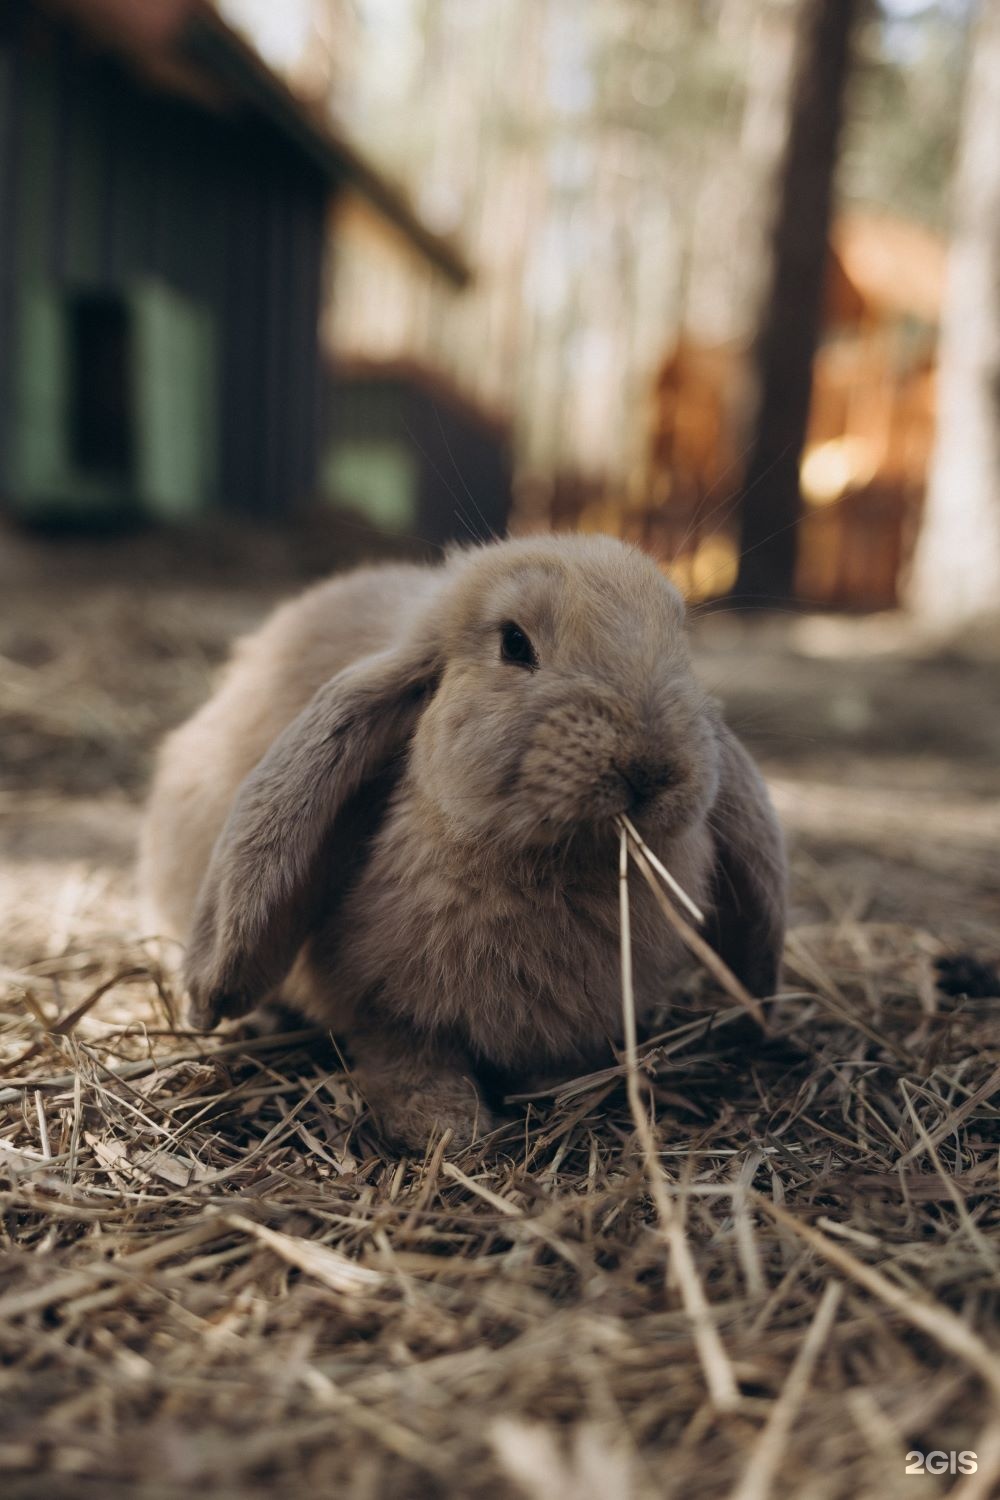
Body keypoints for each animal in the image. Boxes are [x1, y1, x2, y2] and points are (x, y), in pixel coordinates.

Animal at [138, 537, 791, 1146]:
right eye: (515, 644)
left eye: (680, 644)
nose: (652, 767)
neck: (551, 866)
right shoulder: (389, 1010)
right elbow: (407, 1059)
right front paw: (446, 1125)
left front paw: (557, 1089)